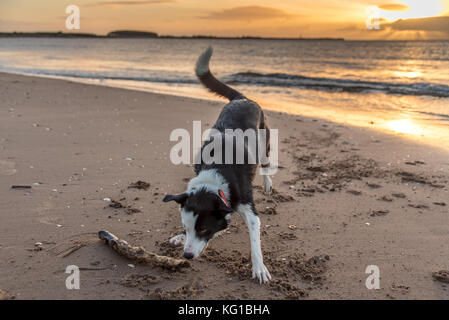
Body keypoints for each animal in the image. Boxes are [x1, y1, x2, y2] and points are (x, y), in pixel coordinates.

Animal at [163, 45, 272, 282]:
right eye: (186, 227)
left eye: (204, 229)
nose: (187, 256)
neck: (215, 174)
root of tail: (242, 98)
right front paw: (178, 237)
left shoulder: (248, 208)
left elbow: (255, 241)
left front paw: (259, 267)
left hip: (265, 142)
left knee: (267, 164)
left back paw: (268, 184)